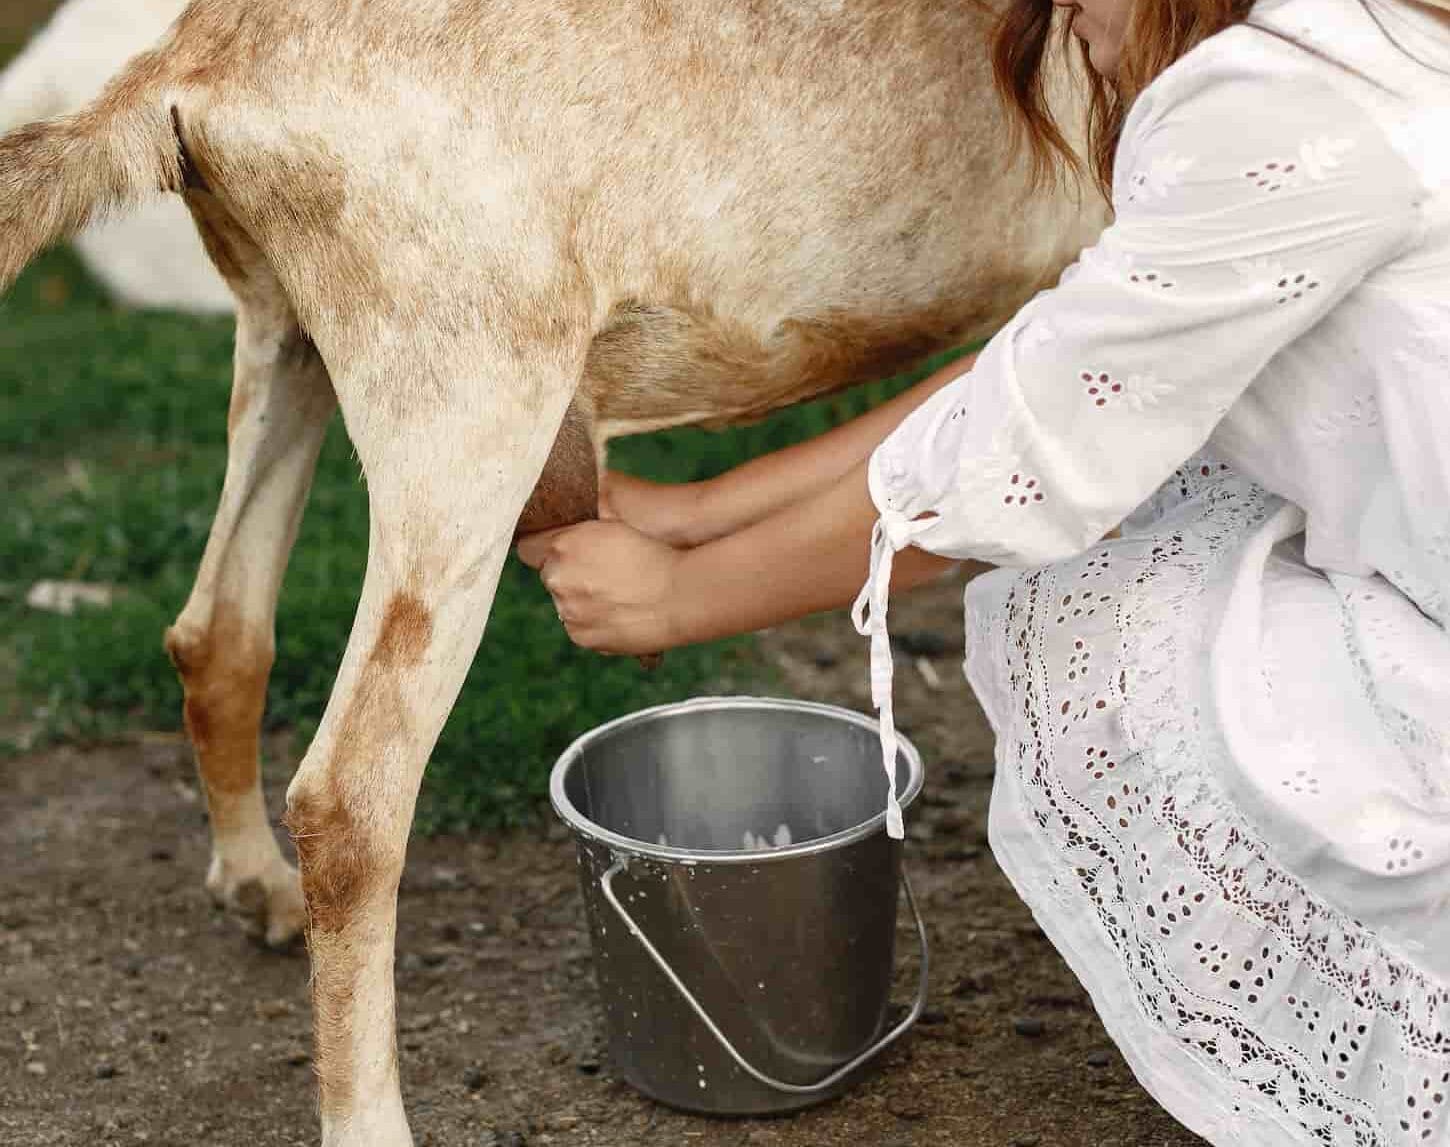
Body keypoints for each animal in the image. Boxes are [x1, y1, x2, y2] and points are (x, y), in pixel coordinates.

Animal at [0, 1, 1104, 1141]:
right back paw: (370, 1112)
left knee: (217, 631)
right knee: (352, 796)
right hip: (465, 401)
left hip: (285, 336)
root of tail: (196, 65)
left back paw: (255, 880)